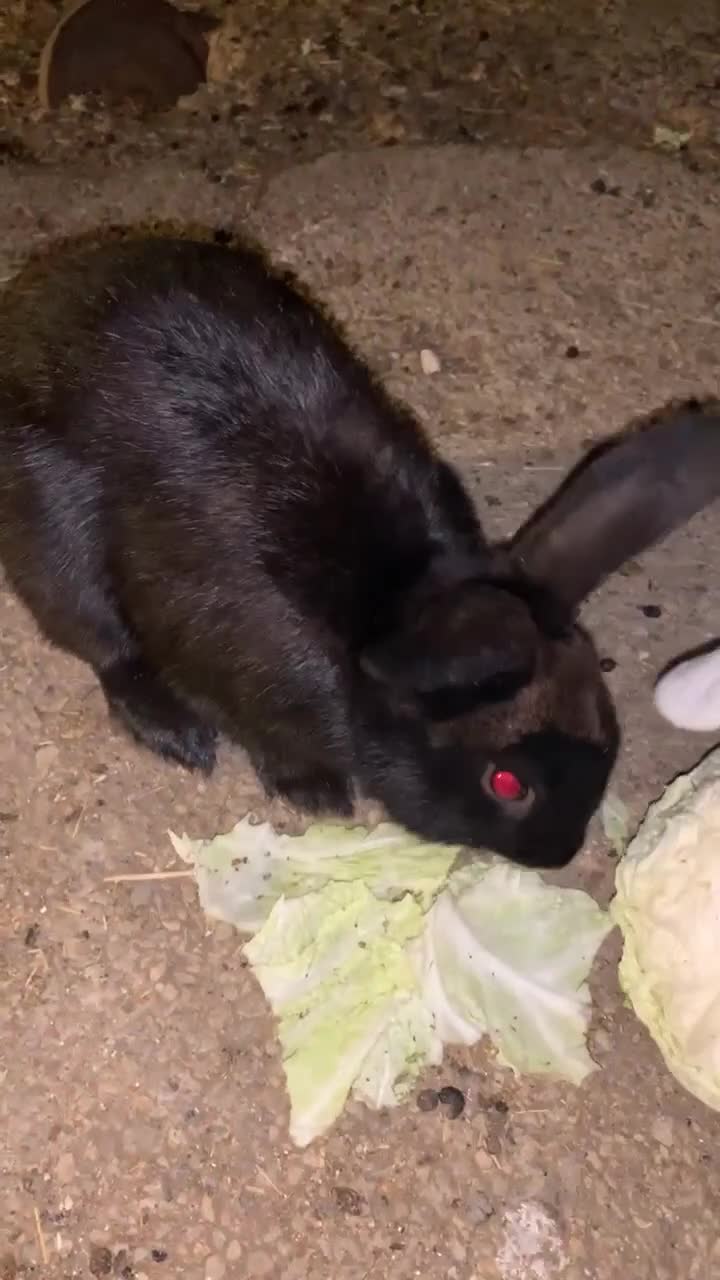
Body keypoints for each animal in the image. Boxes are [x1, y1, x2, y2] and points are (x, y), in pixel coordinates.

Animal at [1, 232, 720, 869]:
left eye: (612, 739)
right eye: (507, 784)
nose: (556, 857)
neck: (385, 616)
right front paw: (318, 797)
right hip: (58, 540)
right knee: (107, 650)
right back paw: (177, 735)